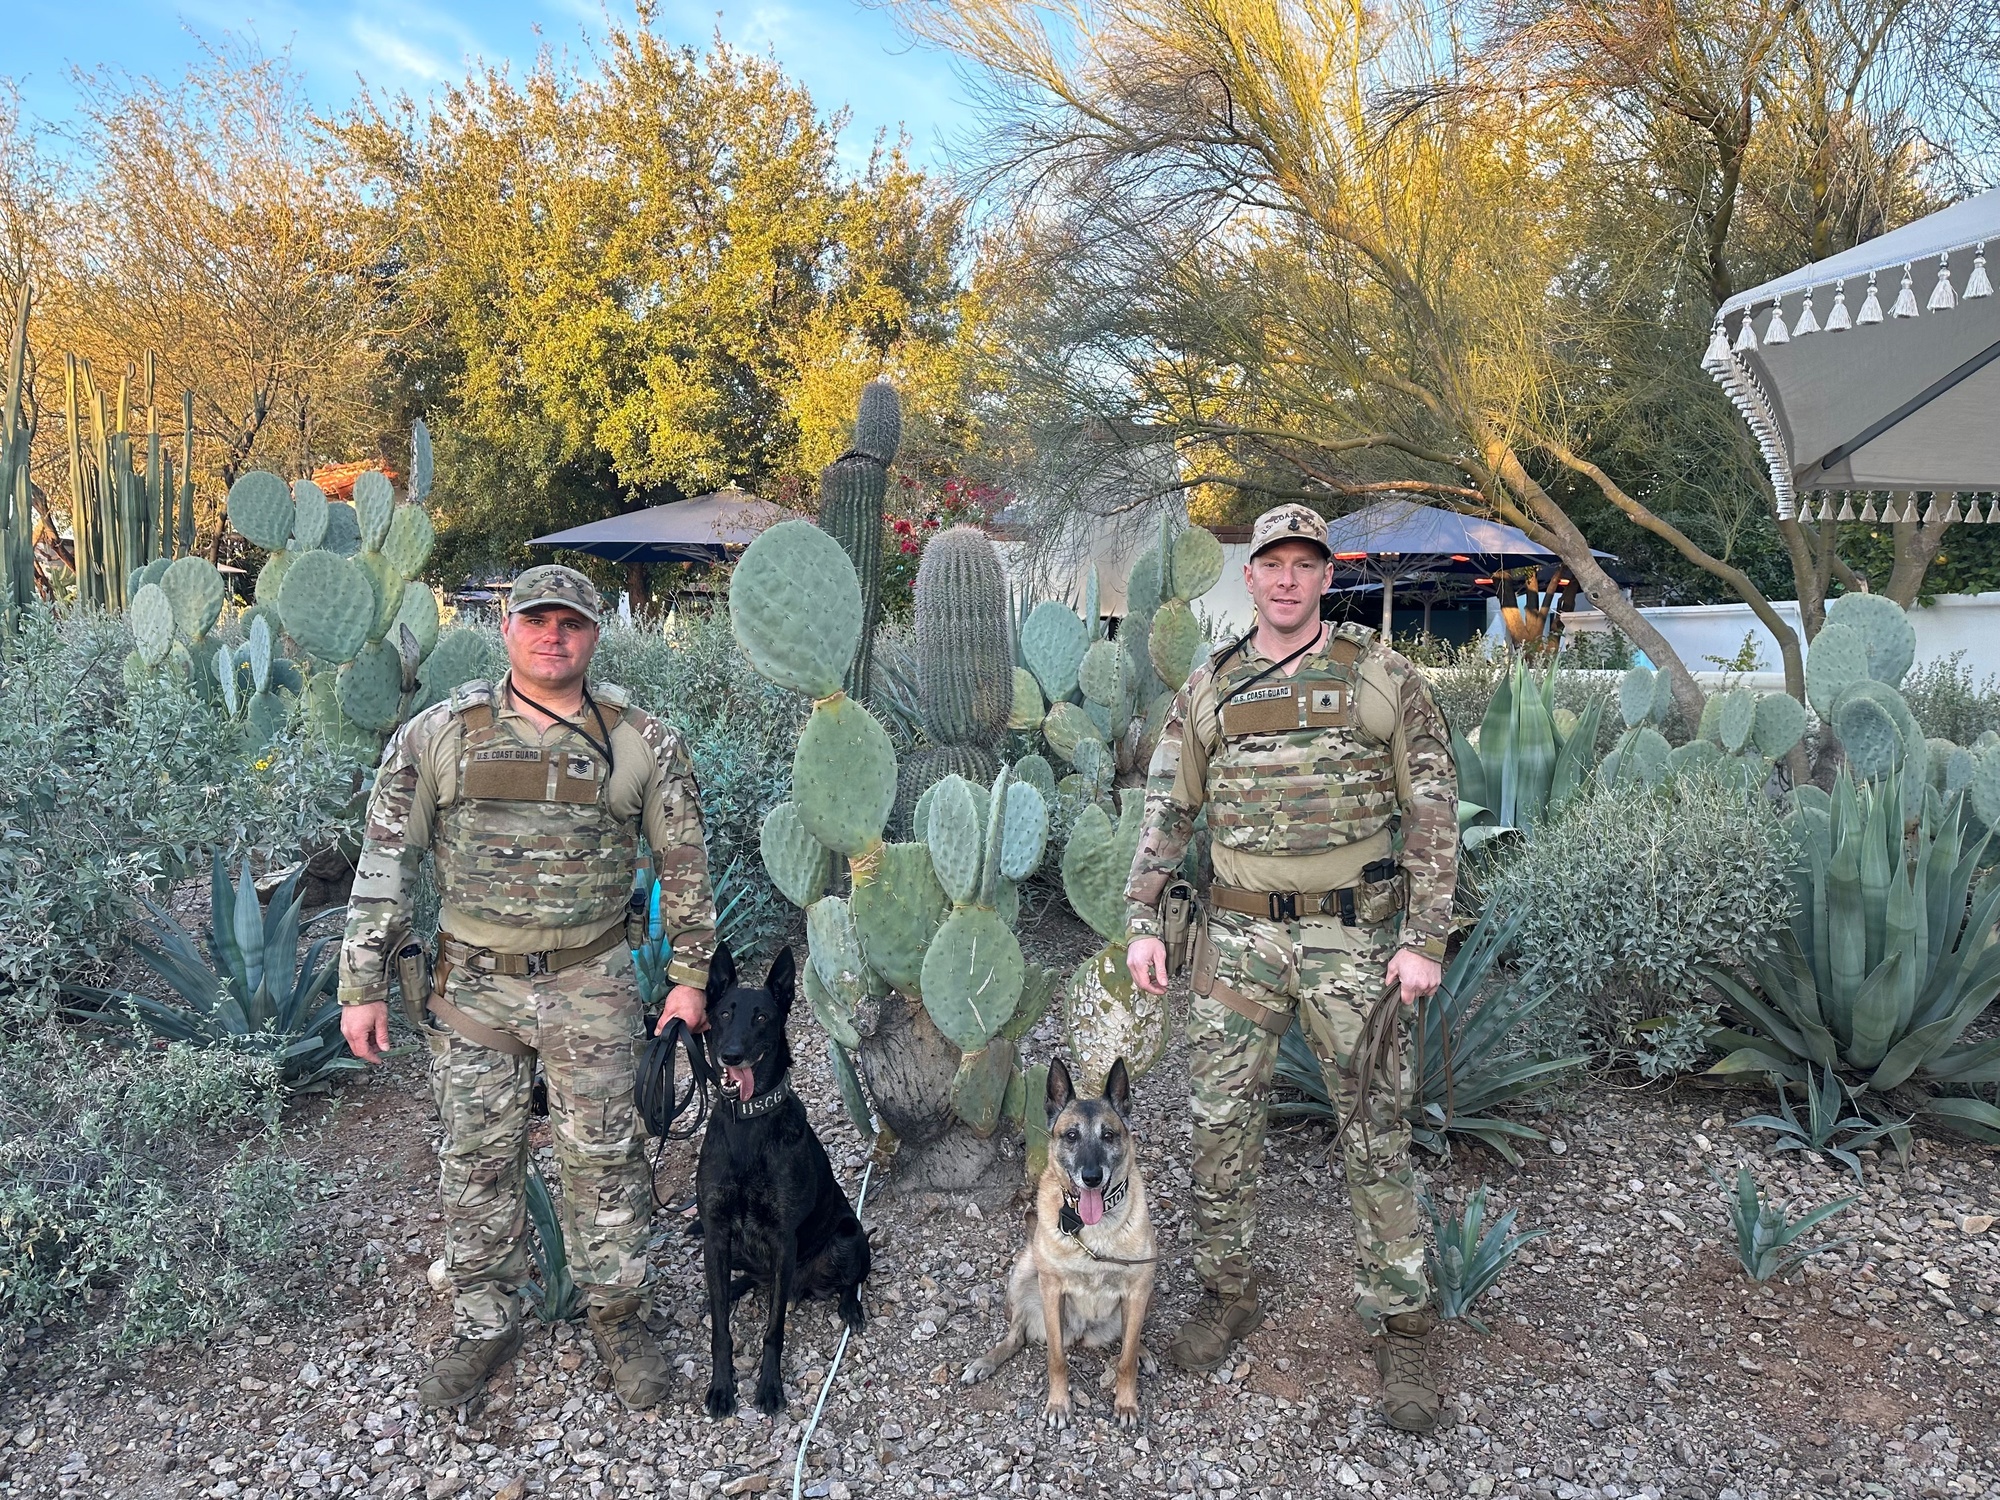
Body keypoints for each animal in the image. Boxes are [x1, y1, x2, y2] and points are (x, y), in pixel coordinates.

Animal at [696, 952, 868, 1424]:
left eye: (761, 1017)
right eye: (723, 1014)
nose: (731, 1054)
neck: (748, 1124)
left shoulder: (783, 1239)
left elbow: (774, 1330)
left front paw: (769, 1386)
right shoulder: (715, 1233)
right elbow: (721, 1330)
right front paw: (723, 1387)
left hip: (848, 1235)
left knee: (851, 1280)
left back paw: (850, 1307)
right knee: (747, 1280)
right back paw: (737, 1287)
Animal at [964, 1056, 1168, 1432]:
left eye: (1108, 1135)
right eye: (1071, 1135)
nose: (1091, 1177)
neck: (1093, 1230)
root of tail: (1082, 1332)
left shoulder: (1137, 1288)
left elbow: (1126, 1358)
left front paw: (1126, 1402)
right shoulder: (1051, 1289)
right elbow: (1056, 1358)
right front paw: (1059, 1404)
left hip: (1146, 1293)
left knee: (1128, 1339)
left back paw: (1144, 1351)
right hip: (1024, 1272)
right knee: (1016, 1335)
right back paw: (986, 1361)